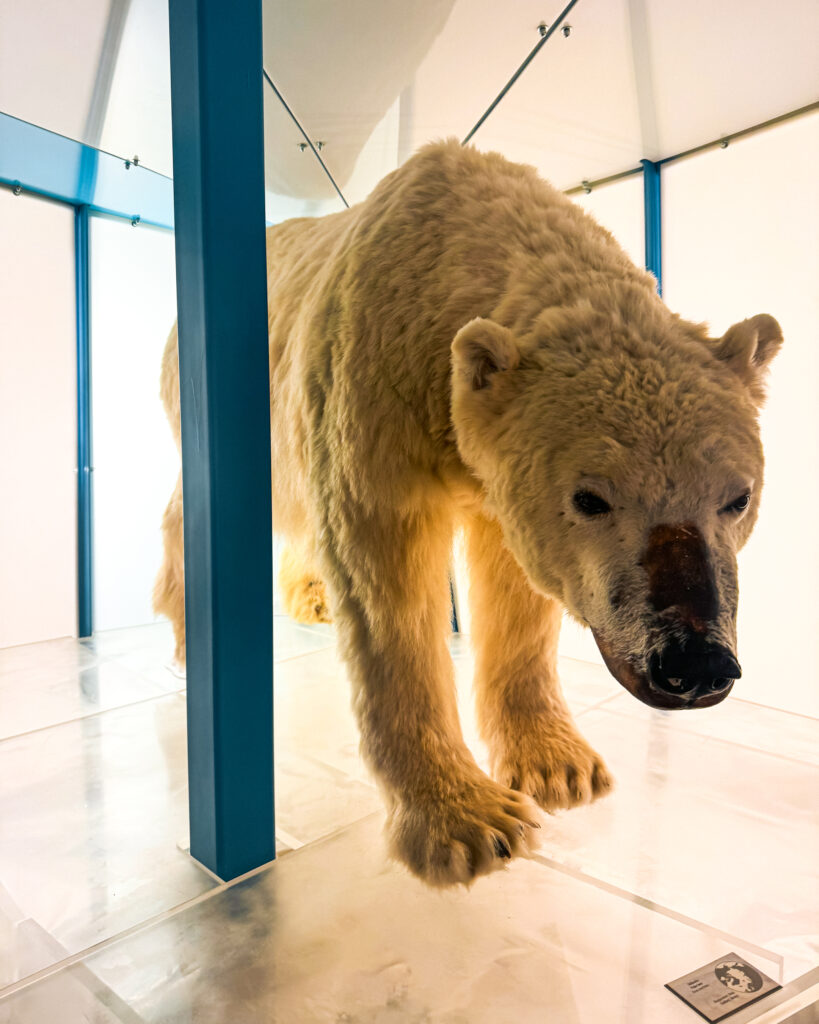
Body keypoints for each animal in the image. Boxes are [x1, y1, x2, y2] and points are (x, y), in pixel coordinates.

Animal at [154, 139, 782, 886]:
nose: (694, 664)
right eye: (590, 498)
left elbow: (515, 586)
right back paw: (185, 630)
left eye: (737, 497)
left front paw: (560, 768)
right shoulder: (375, 389)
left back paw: (311, 598)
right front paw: (468, 823)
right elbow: (385, 580)